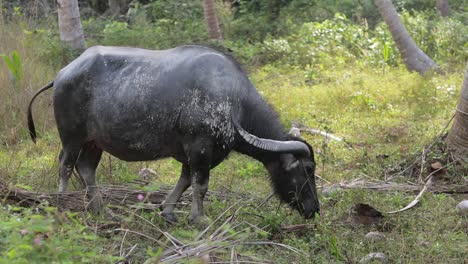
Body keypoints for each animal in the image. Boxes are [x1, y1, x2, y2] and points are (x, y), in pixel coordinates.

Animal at [27, 44, 320, 223]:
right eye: (307, 169)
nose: (314, 209)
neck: (233, 100)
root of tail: (63, 73)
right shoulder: (200, 148)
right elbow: (200, 185)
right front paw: (198, 218)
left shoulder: (196, 153)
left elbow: (185, 180)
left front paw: (168, 210)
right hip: (71, 137)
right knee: (66, 166)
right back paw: (62, 203)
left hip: (93, 142)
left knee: (87, 169)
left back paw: (102, 211)